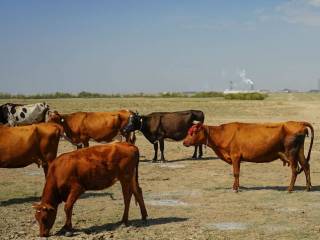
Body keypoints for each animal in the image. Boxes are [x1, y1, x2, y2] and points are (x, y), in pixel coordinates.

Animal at [184, 121, 314, 192]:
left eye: (193, 132)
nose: (184, 142)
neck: (223, 134)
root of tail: (298, 123)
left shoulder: (235, 156)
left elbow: (236, 173)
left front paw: (236, 189)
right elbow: (236, 173)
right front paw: (234, 186)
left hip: (291, 153)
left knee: (294, 170)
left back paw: (290, 189)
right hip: (299, 151)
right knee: (306, 166)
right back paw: (308, 187)